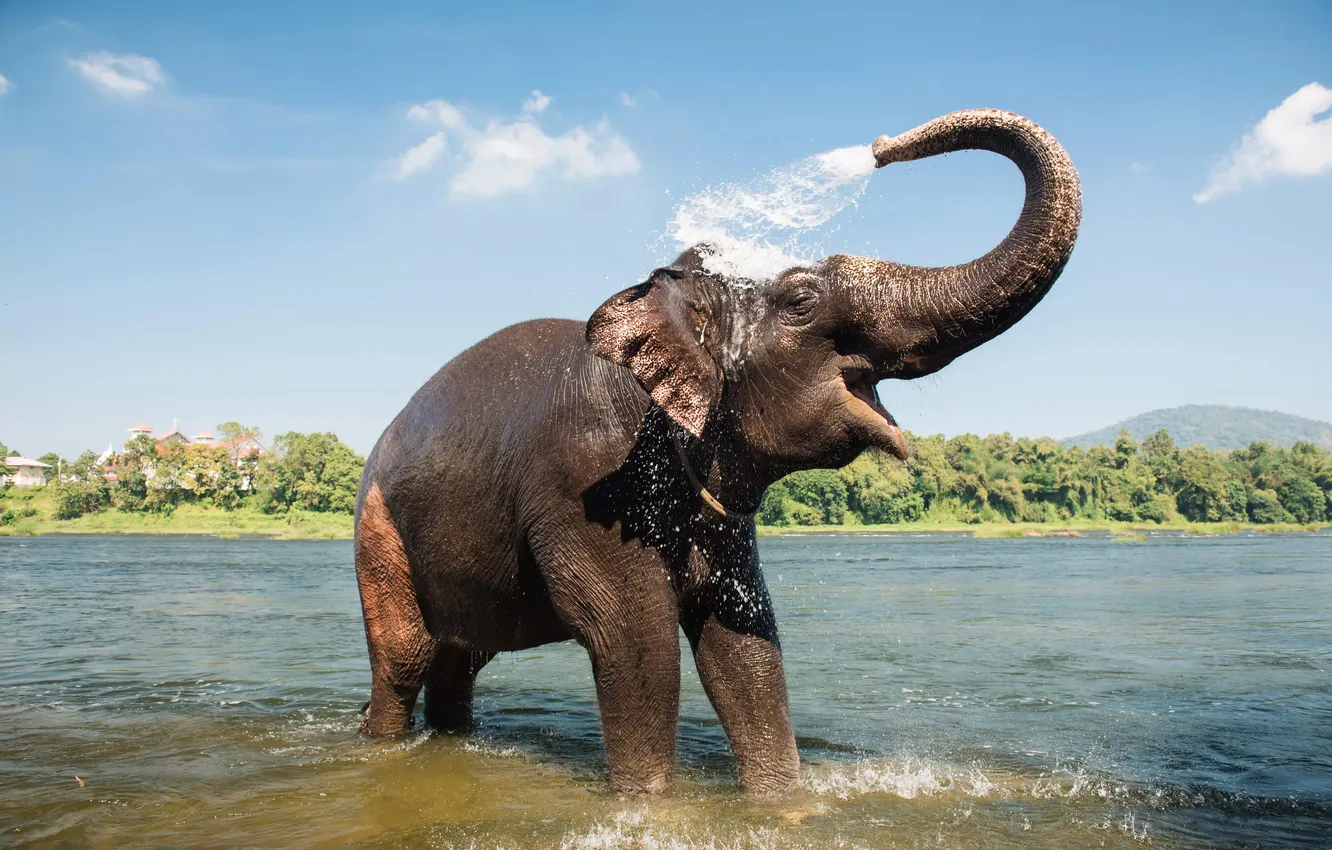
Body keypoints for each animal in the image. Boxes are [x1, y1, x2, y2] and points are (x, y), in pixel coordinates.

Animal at [353, 108, 1081, 795]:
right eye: (801, 300)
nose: (880, 146)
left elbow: (742, 643)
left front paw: (783, 802)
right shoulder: (584, 482)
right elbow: (636, 642)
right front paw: (647, 806)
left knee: (460, 658)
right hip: (377, 530)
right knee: (405, 659)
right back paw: (380, 742)